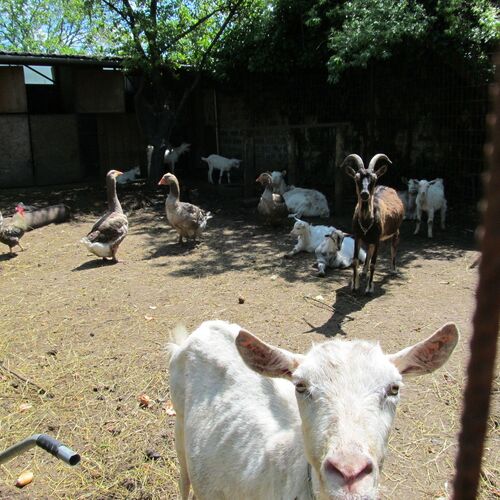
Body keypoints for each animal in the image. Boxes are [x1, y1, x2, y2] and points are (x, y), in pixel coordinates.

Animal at [168, 319, 459, 500]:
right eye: (301, 386)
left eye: (394, 388)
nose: (349, 473)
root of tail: (205, 328)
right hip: (179, 422)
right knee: (183, 478)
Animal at [342, 154, 404, 295]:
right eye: (356, 178)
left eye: (374, 178)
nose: (365, 194)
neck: (366, 221)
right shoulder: (358, 236)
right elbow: (355, 260)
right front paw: (354, 285)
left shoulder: (377, 238)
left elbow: (374, 263)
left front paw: (369, 288)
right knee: (369, 250)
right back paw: (364, 272)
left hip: (396, 230)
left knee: (393, 248)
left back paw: (393, 270)